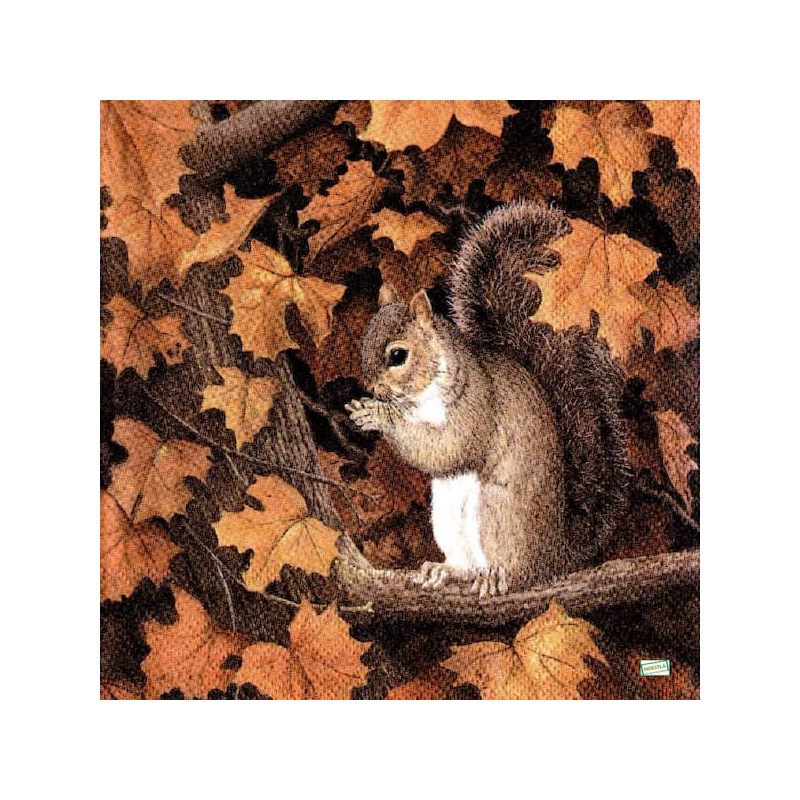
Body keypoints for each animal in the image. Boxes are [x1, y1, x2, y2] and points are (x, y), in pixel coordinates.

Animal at [346, 201, 630, 598]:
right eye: (364, 341)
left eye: (398, 355)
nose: (372, 389)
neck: (421, 399)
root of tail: (556, 559)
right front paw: (364, 410)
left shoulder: (476, 405)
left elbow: (449, 447)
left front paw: (379, 416)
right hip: (448, 516)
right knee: (465, 561)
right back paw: (446, 571)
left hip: (497, 513)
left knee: (515, 570)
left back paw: (495, 576)